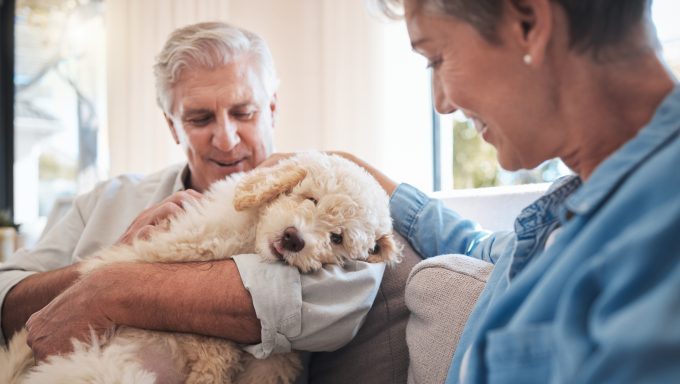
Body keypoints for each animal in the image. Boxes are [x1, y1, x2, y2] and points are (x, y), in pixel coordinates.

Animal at [0, 152, 402, 384]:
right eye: (310, 198)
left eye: (337, 238)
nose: (293, 239)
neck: (248, 239)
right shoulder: (171, 244)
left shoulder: (270, 364)